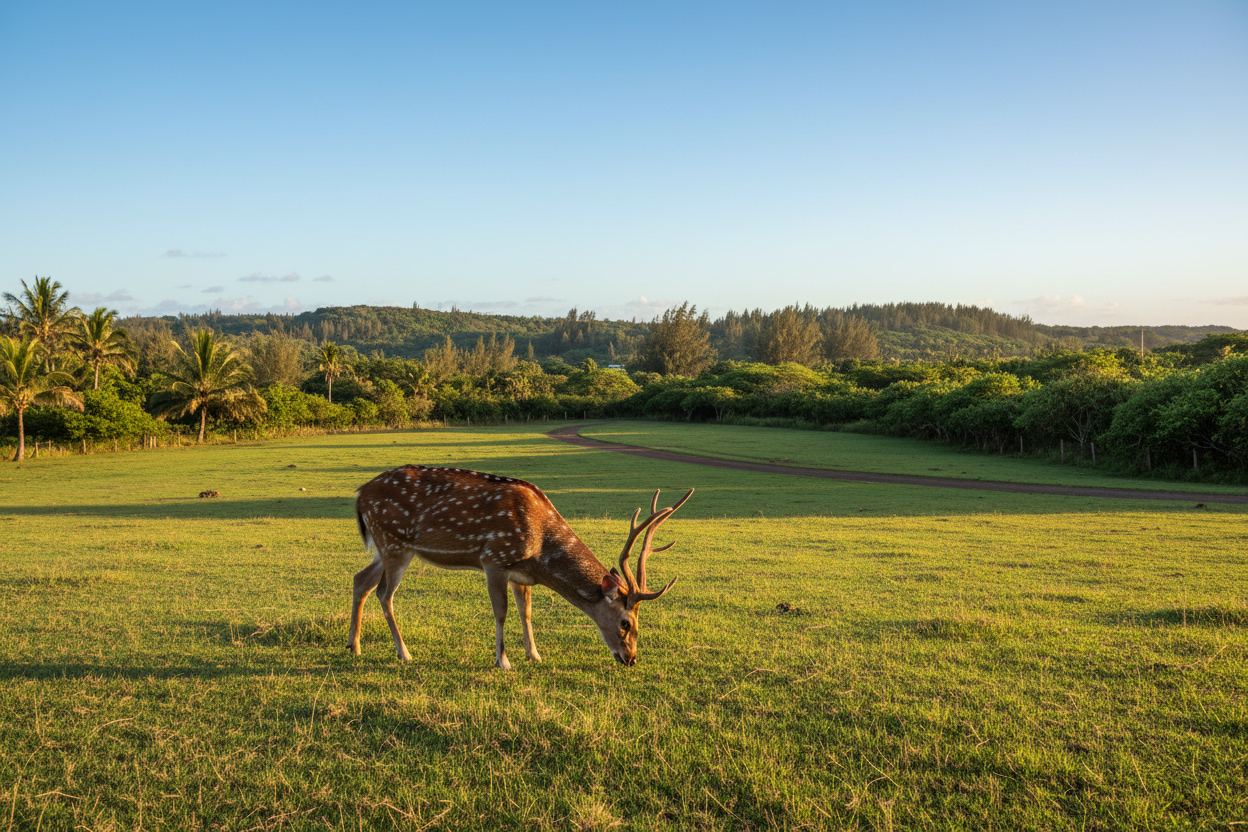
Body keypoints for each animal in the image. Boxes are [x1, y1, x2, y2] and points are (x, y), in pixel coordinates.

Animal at [349, 465, 692, 669]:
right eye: (625, 623)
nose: (631, 658)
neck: (539, 550)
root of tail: (359, 494)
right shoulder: (494, 558)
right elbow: (501, 612)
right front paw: (503, 661)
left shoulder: (521, 574)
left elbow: (525, 612)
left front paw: (534, 655)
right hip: (394, 542)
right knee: (384, 593)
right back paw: (404, 653)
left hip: (385, 547)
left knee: (360, 580)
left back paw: (354, 645)